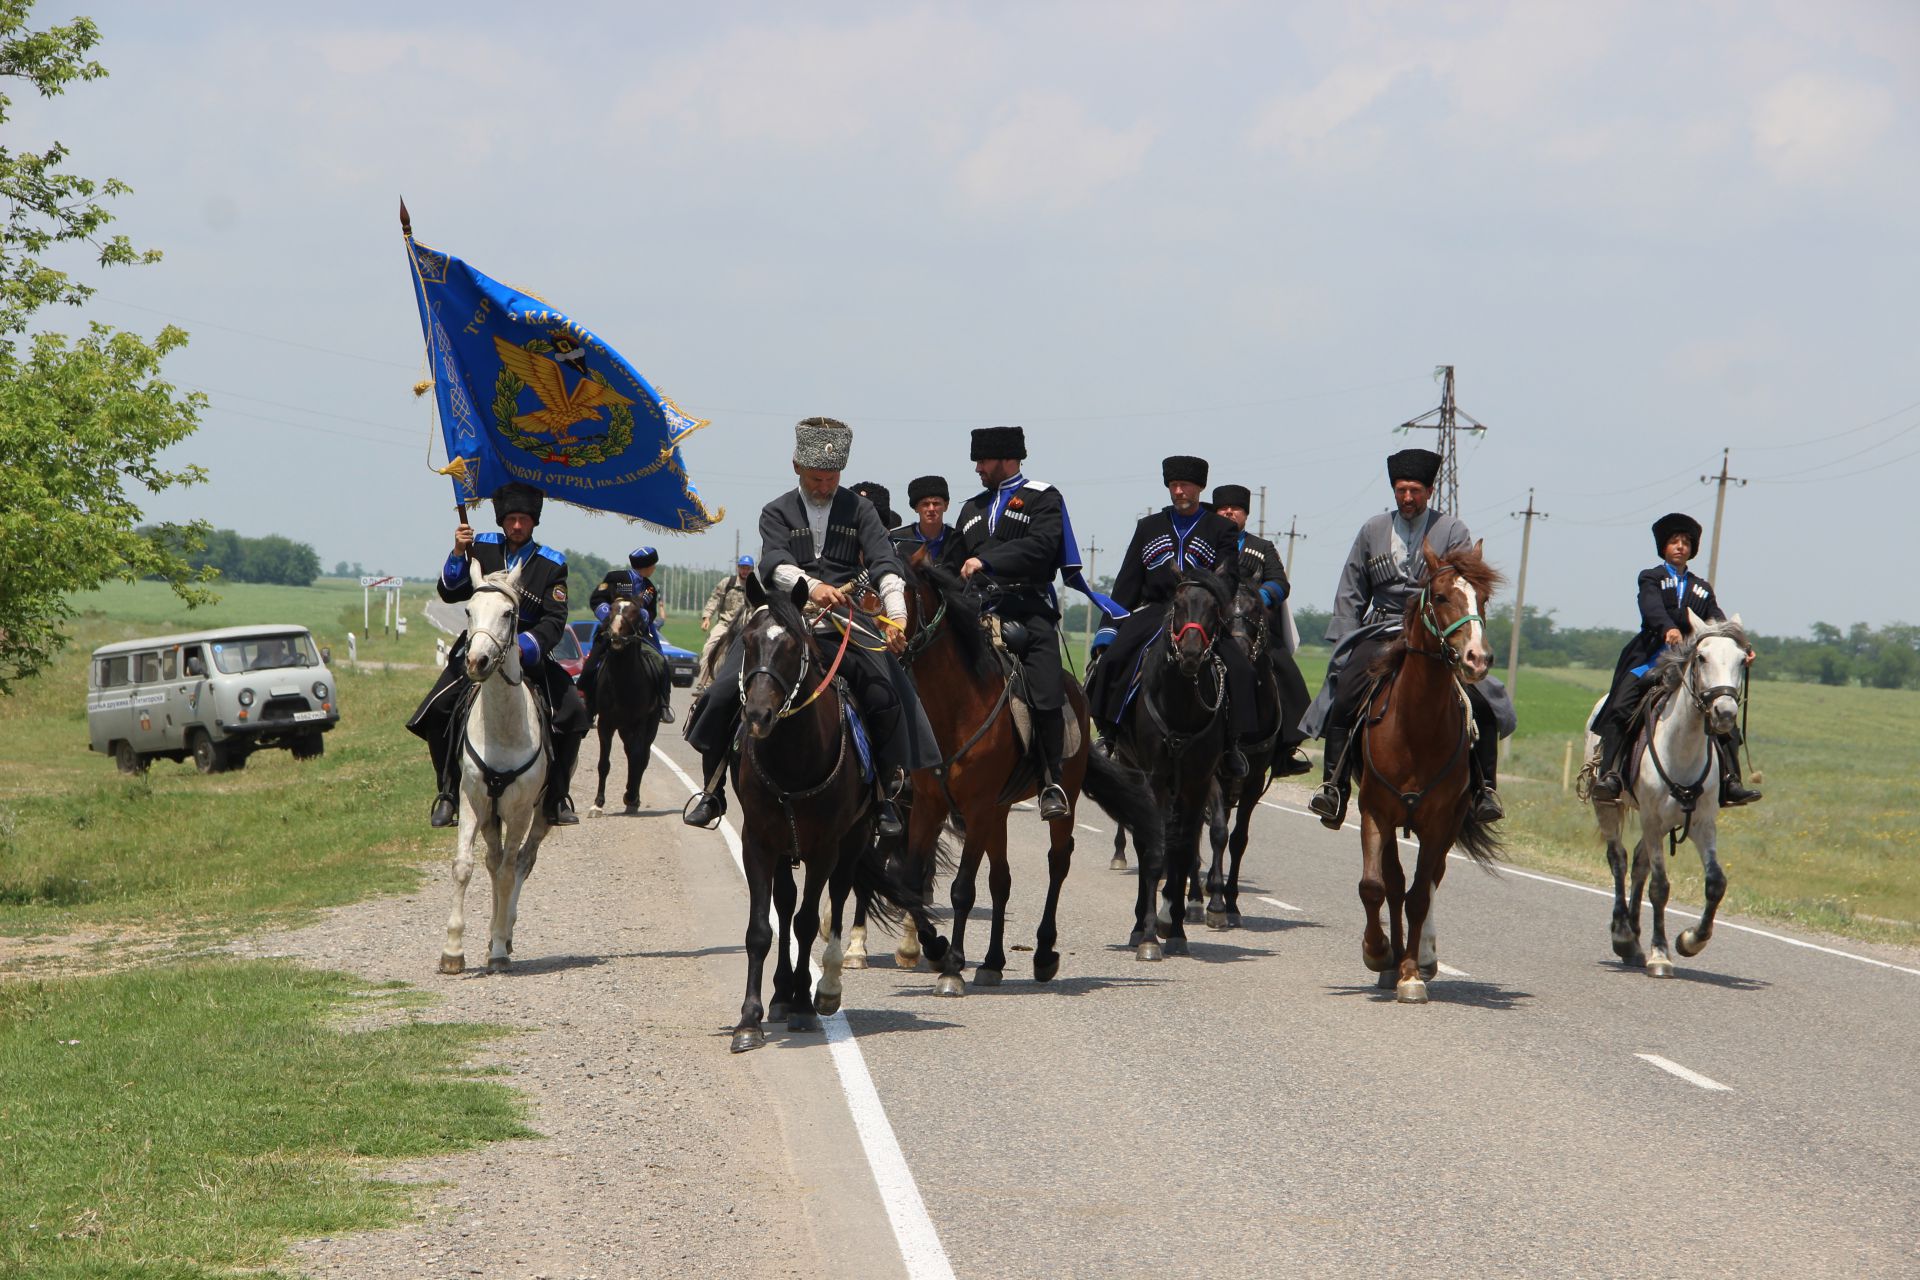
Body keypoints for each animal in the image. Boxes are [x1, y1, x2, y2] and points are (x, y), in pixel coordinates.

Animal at [439, 564, 549, 974]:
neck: (502, 728)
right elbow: (465, 867)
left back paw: (505, 932)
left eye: (508, 613)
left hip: (540, 815)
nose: (476, 662)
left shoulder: (518, 812)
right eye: (468, 610)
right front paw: (453, 950)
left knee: (520, 863)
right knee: (493, 860)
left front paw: (500, 948)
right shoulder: (474, 801)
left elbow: (507, 873)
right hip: (490, 814)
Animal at [587, 594, 664, 817]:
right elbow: (604, 764)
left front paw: (631, 797)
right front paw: (597, 803)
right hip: (623, 728)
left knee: (640, 757)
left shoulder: (640, 723)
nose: (615, 634)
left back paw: (633, 796)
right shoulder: (605, 724)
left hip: (649, 726)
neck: (622, 681)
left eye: (635, 613)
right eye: (611, 610)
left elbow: (638, 758)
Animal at [725, 579, 944, 1051]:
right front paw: (750, 1019)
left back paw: (823, 988)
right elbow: (761, 929)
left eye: (792, 647)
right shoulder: (758, 843)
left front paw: (806, 1006)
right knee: (786, 903)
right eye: (748, 642)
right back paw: (782, 994)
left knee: (840, 897)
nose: (757, 715)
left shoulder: (825, 847)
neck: (793, 758)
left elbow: (809, 923)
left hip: (853, 840)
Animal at [1359, 541, 1505, 997]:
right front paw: (1378, 953)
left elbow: (1421, 894)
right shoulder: (1376, 812)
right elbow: (1375, 885)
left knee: (1429, 880)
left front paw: (1410, 973)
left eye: (1483, 599)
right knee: (1392, 883)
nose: (1478, 659)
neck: (1416, 727)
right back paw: (1390, 961)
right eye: (1440, 597)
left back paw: (1420, 957)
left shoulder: (1440, 822)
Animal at [1582, 614, 1751, 974]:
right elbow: (1660, 887)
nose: (1725, 713)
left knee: (1639, 864)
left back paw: (1633, 940)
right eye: (1701, 657)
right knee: (1619, 860)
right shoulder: (1652, 819)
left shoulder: (1702, 823)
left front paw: (1690, 940)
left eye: (1742, 660)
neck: (1683, 747)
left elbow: (1716, 883)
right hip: (1609, 808)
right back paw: (1623, 935)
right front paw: (1660, 954)